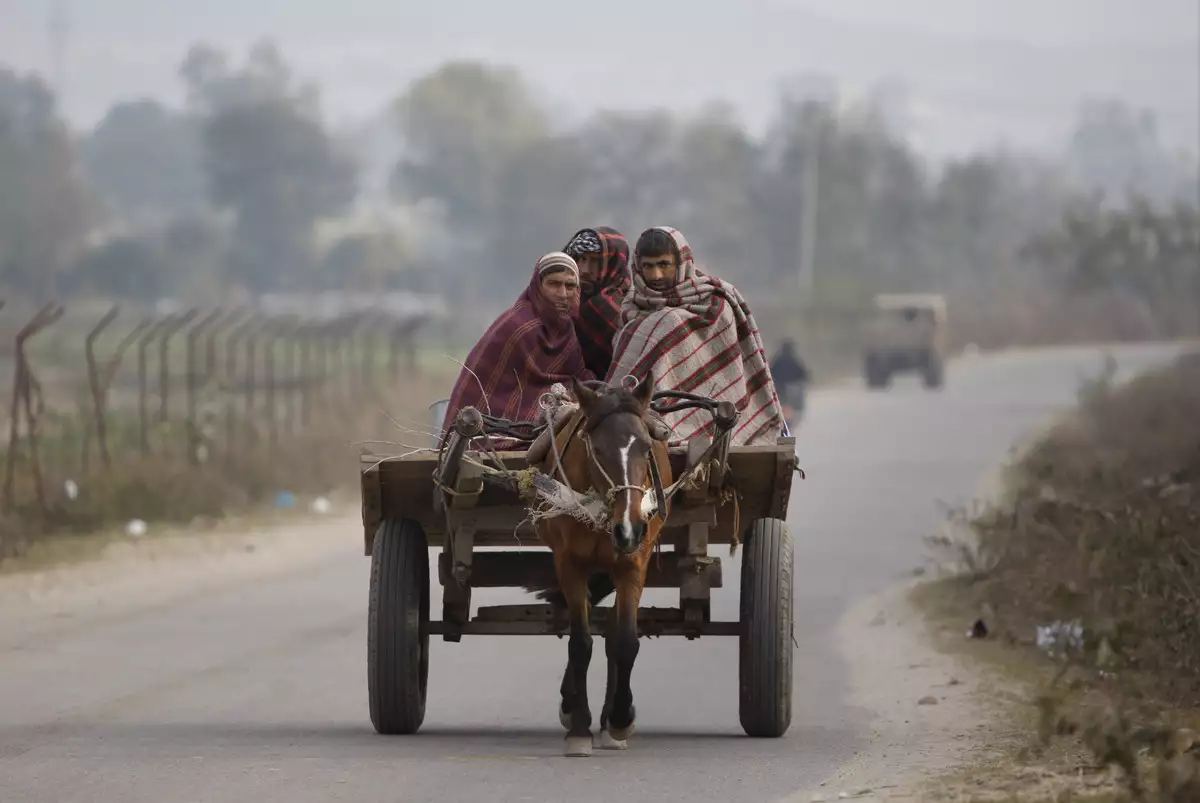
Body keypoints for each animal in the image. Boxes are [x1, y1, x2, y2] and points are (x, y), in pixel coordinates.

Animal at [530, 372, 672, 753]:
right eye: (597, 450)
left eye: (646, 448)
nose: (630, 527)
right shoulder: (569, 564)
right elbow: (580, 643)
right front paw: (579, 725)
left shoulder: (633, 564)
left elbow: (624, 642)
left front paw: (620, 719)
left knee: (610, 635)